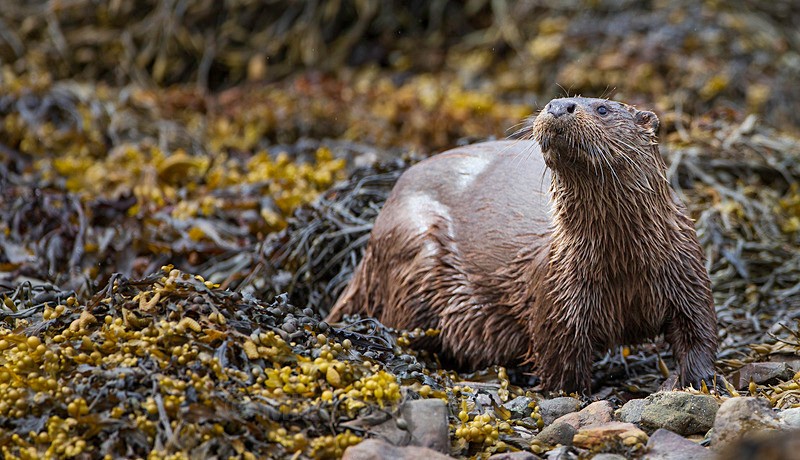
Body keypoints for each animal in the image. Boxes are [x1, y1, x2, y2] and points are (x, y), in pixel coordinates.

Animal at [327, 97, 717, 392]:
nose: (558, 106)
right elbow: (561, 367)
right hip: (416, 251)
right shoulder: (556, 297)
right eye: (554, 99)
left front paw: (696, 383)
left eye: (603, 108)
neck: (624, 263)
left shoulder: (687, 272)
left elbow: (699, 336)